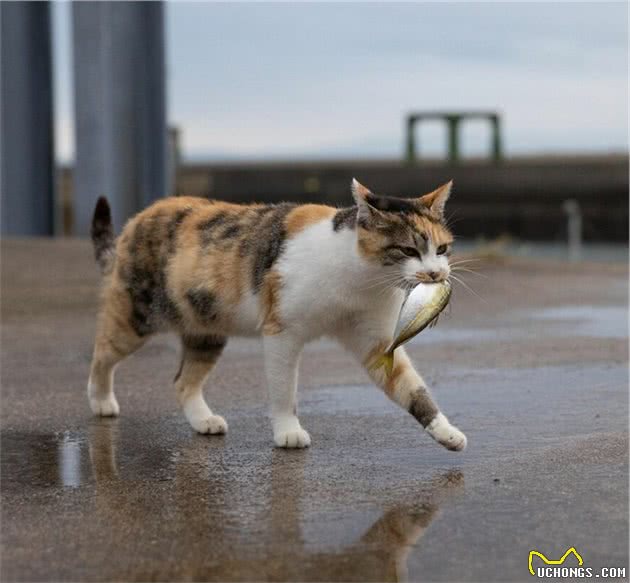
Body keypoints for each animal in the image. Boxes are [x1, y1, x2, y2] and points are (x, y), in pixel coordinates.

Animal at [86, 180, 466, 454]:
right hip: (137, 317)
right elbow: (285, 390)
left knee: (183, 381)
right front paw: (288, 431)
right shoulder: (282, 333)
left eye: (442, 249)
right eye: (408, 250)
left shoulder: (376, 342)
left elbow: (412, 389)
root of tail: (140, 216)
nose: (436, 274)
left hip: (206, 327)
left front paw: (446, 432)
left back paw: (203, 420)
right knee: (102, 354)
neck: (361, 280)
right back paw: (101, 401)